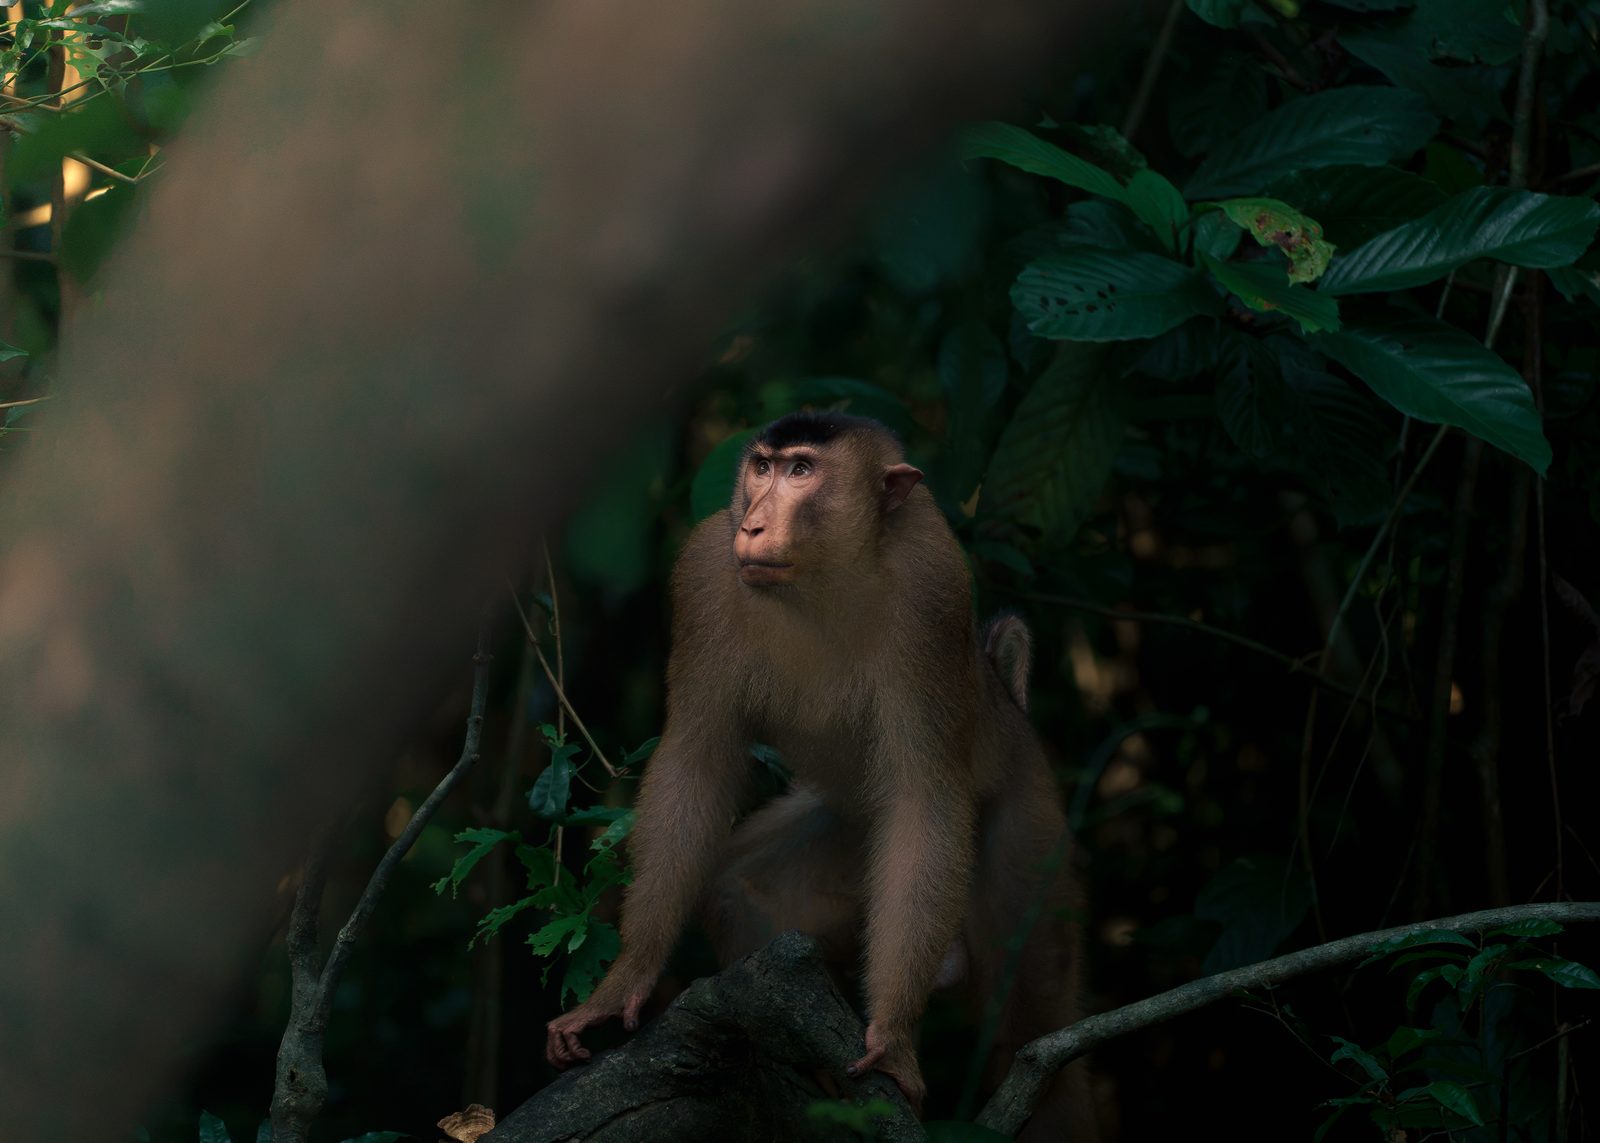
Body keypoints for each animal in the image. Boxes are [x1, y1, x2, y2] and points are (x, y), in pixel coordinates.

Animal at [544, 411, 1094, 1139]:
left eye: (802, 471)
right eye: (762, 468)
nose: (752, 524)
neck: (821, 578)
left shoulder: (933, 586)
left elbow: (924, 794)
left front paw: (892, 1036)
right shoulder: (704, 575)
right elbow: (695, 761)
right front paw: (625, 980)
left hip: (1027, 823)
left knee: (1035, 1024)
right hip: (846, 828)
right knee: (735, 888)